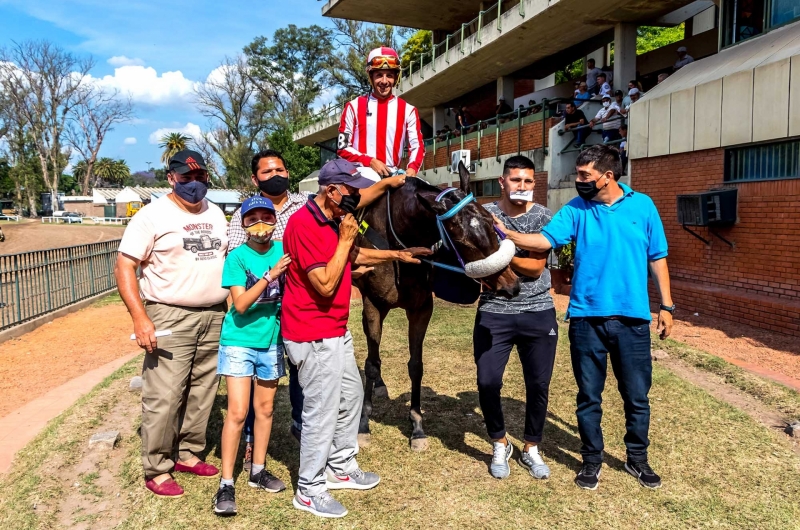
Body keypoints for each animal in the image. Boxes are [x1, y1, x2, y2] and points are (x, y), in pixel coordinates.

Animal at [354, 162, 520, 450]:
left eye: (491, 222)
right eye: (462, 241)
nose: (510, 285)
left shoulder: (421, 308)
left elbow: (416, 365)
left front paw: (417, 426)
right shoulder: (372, 304)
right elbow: (371, 363)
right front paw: (364, 424)